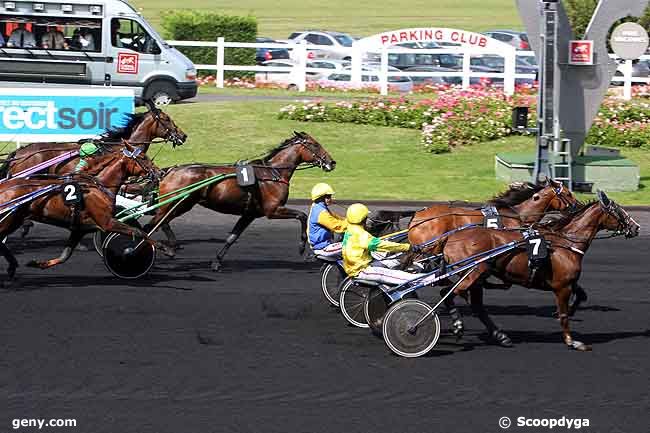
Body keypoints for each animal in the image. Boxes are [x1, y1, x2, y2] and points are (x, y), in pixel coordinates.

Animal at [0, 174, 167, 282]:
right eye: (143, 158)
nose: (158, 173)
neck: (97, 189)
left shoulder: (80, 229)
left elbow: (65, 255)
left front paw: (39, 264)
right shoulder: (107, 222)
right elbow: (138, 232)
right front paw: (162, 247)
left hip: (13, 220)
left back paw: (12, 266)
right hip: (9, 220)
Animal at [142, 130, 334, 270]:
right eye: (315, 144)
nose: (332, 162)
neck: (273, 174)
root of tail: (169, 171)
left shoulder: (249, 214)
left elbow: (232, 237)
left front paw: (217, 261)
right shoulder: (273, 210)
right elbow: (302, 215)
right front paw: (303, 248)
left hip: (178, 205)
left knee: (159, 223)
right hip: (177, 204)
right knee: (151, 226)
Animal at [426, 192, 636, 352]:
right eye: (618, 210)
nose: (635, 227)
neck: (565, 242)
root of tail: (450, 238)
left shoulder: (568, 282)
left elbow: (581, 295)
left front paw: (572, 310)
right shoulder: (562, 287)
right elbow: (564, 315)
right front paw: (572, 341)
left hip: (477, 275)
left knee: (473, 304)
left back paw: (500, 336)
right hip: (475, 271)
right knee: (450, 293)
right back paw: (458, 326)